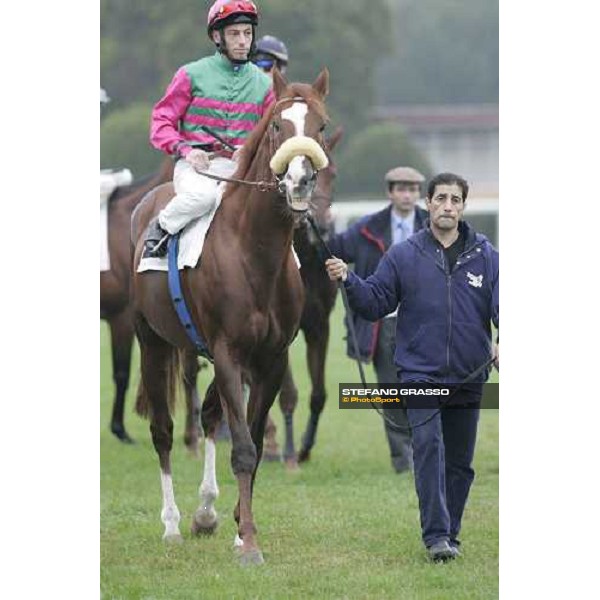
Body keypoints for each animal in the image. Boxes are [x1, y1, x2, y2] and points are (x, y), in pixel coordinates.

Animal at [131, 70, 330, 568]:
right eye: (278, 126)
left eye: (320, 126)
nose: (301, 180)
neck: (253, 252)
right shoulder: (226, 352)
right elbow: (240, 447)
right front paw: (251, 544)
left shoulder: (270, 360)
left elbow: (253, 445)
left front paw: (241, 530)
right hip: (151, 339)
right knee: (163, 430)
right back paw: (172, 525)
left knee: (207, 415)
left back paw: (205, 511)